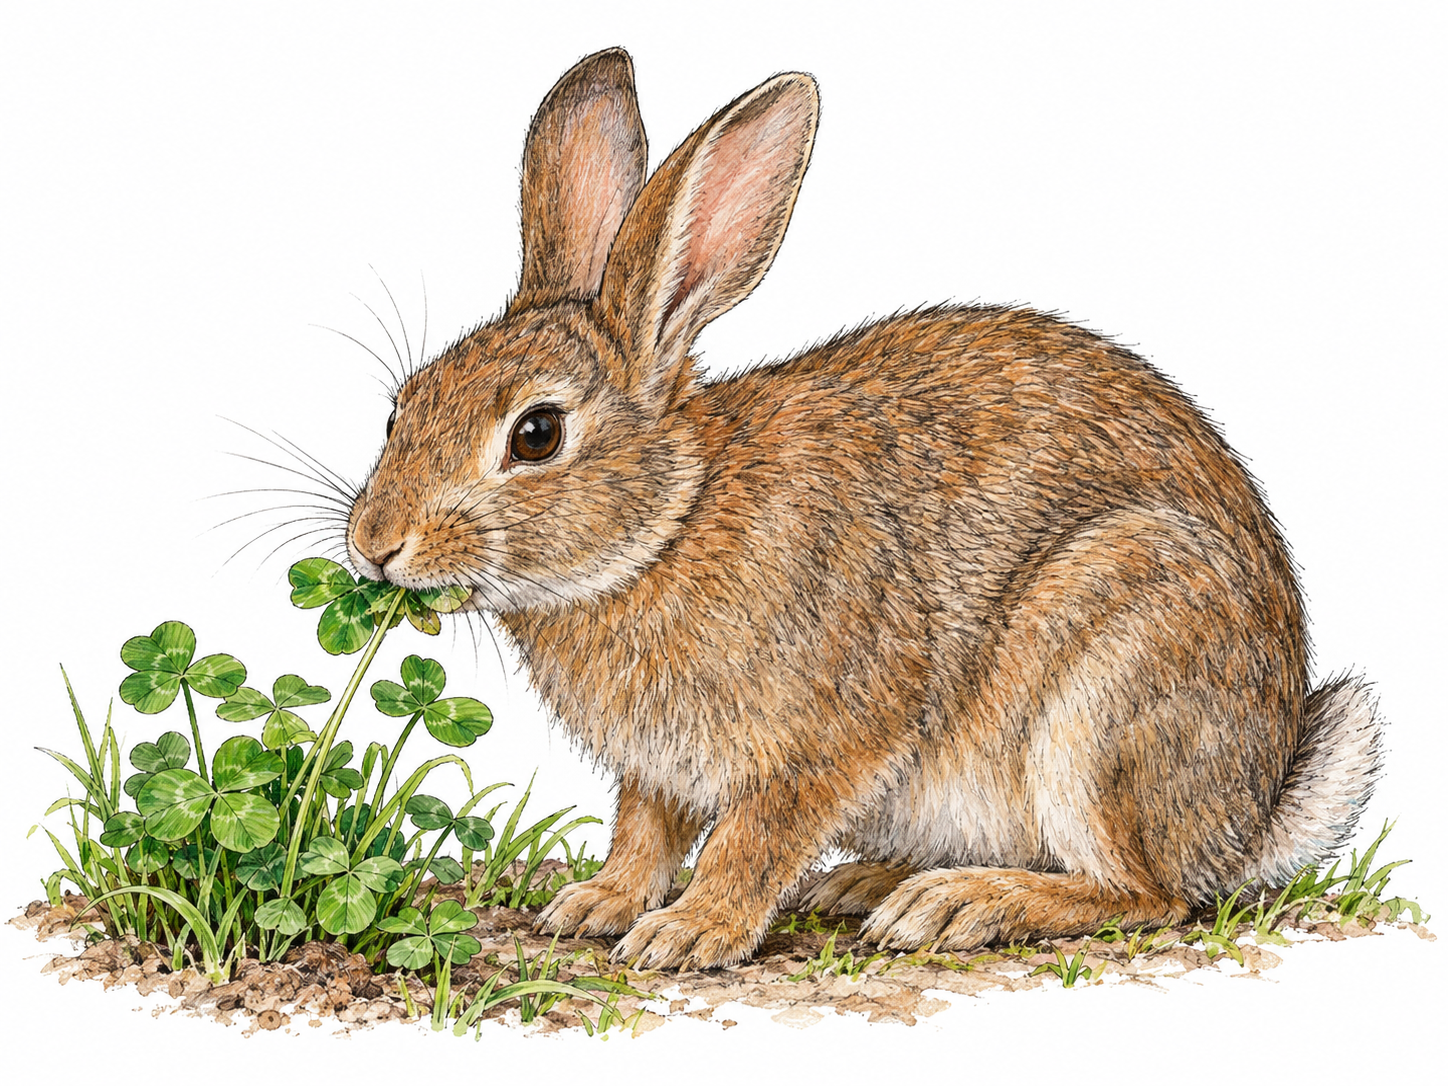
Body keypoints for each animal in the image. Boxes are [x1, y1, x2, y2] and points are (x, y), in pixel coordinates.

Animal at [345, 47, 1383, 970]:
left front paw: (691, 933)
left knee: (1148, 893)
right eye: (402, 405)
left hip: (1113, 680)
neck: (670, 523)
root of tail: (1251, 811)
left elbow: (752, 838)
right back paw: (862, 885)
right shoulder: (657, 770)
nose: (374, 545)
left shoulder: (831, 732)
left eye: (536, 434)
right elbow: (645, 833)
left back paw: (958, 905)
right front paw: (594, 905)